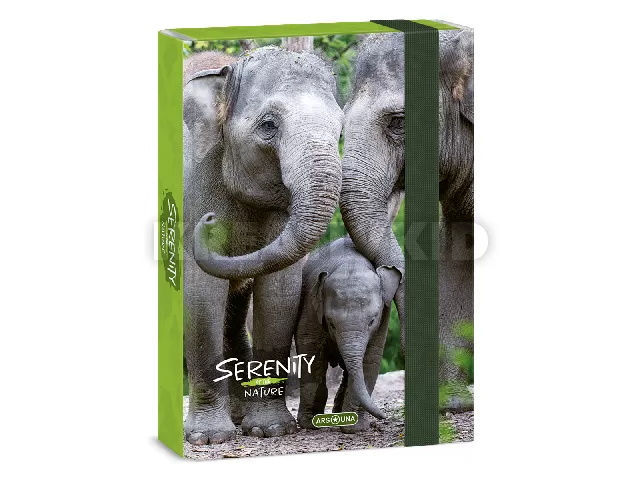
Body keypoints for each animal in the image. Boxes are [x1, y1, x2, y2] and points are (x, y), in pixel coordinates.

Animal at [182, 46, 344, 444]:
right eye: (268, 126)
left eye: (341, 129)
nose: (208, 223)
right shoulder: (191, 182)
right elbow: (200, 292)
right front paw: (208, 438)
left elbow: (280, 290)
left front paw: (271, 430)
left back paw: (240, 418)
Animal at [295, 237, 400, 433]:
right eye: (331, 323)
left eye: (372, 321)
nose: (385, 417)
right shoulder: (311, 306)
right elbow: (311, 351)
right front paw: (309, 424)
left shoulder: (384, 317)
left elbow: (370, 359)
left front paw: (355, 428)